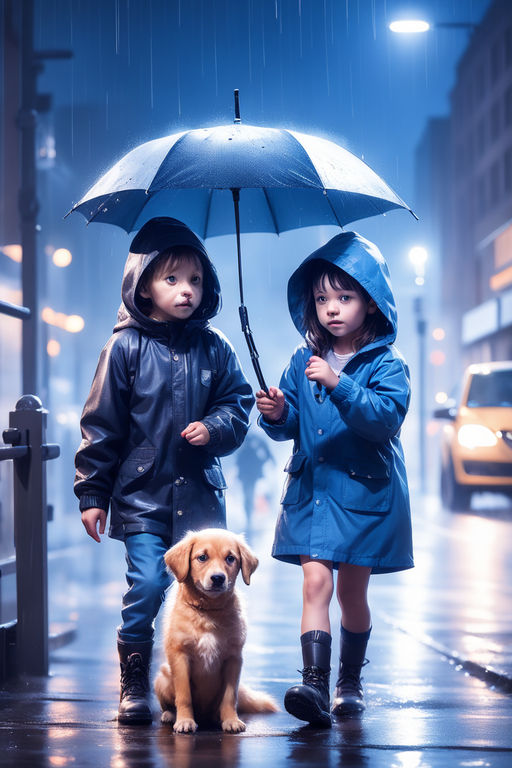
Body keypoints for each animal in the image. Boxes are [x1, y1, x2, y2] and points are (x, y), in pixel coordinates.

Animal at [155, 528, 278, 732]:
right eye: (202, 557)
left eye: (230, 558)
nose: (218, 578)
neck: (208, 612)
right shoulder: (180, 655)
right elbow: (184, 695)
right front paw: (185, 721)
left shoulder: (233, 658)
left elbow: (229, 696)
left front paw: (231, 720)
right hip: (162, 678)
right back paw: (170, 715)